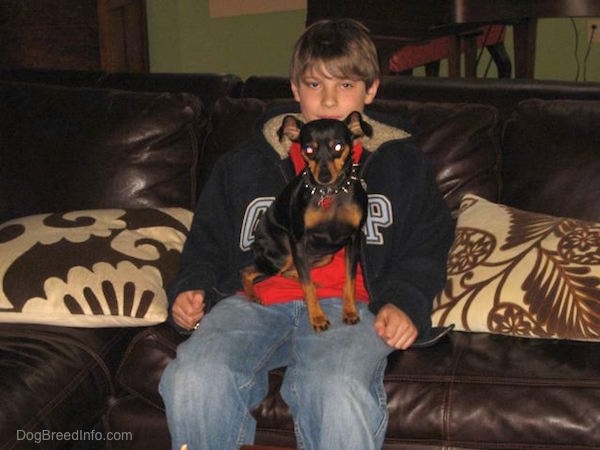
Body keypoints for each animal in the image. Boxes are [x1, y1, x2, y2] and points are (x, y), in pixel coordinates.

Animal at [241, 111, 372, 330]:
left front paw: (350, 311)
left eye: (338, 146)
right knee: (248, 271)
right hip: (282, 255)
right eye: (309, 149)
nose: (324, 176)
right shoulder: (298, 239)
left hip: (323, 256)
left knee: (292, 273)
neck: (330, 193)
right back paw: (252, 294)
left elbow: (349, 281)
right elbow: (307, 287)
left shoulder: (353, 240)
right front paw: (317, 317)